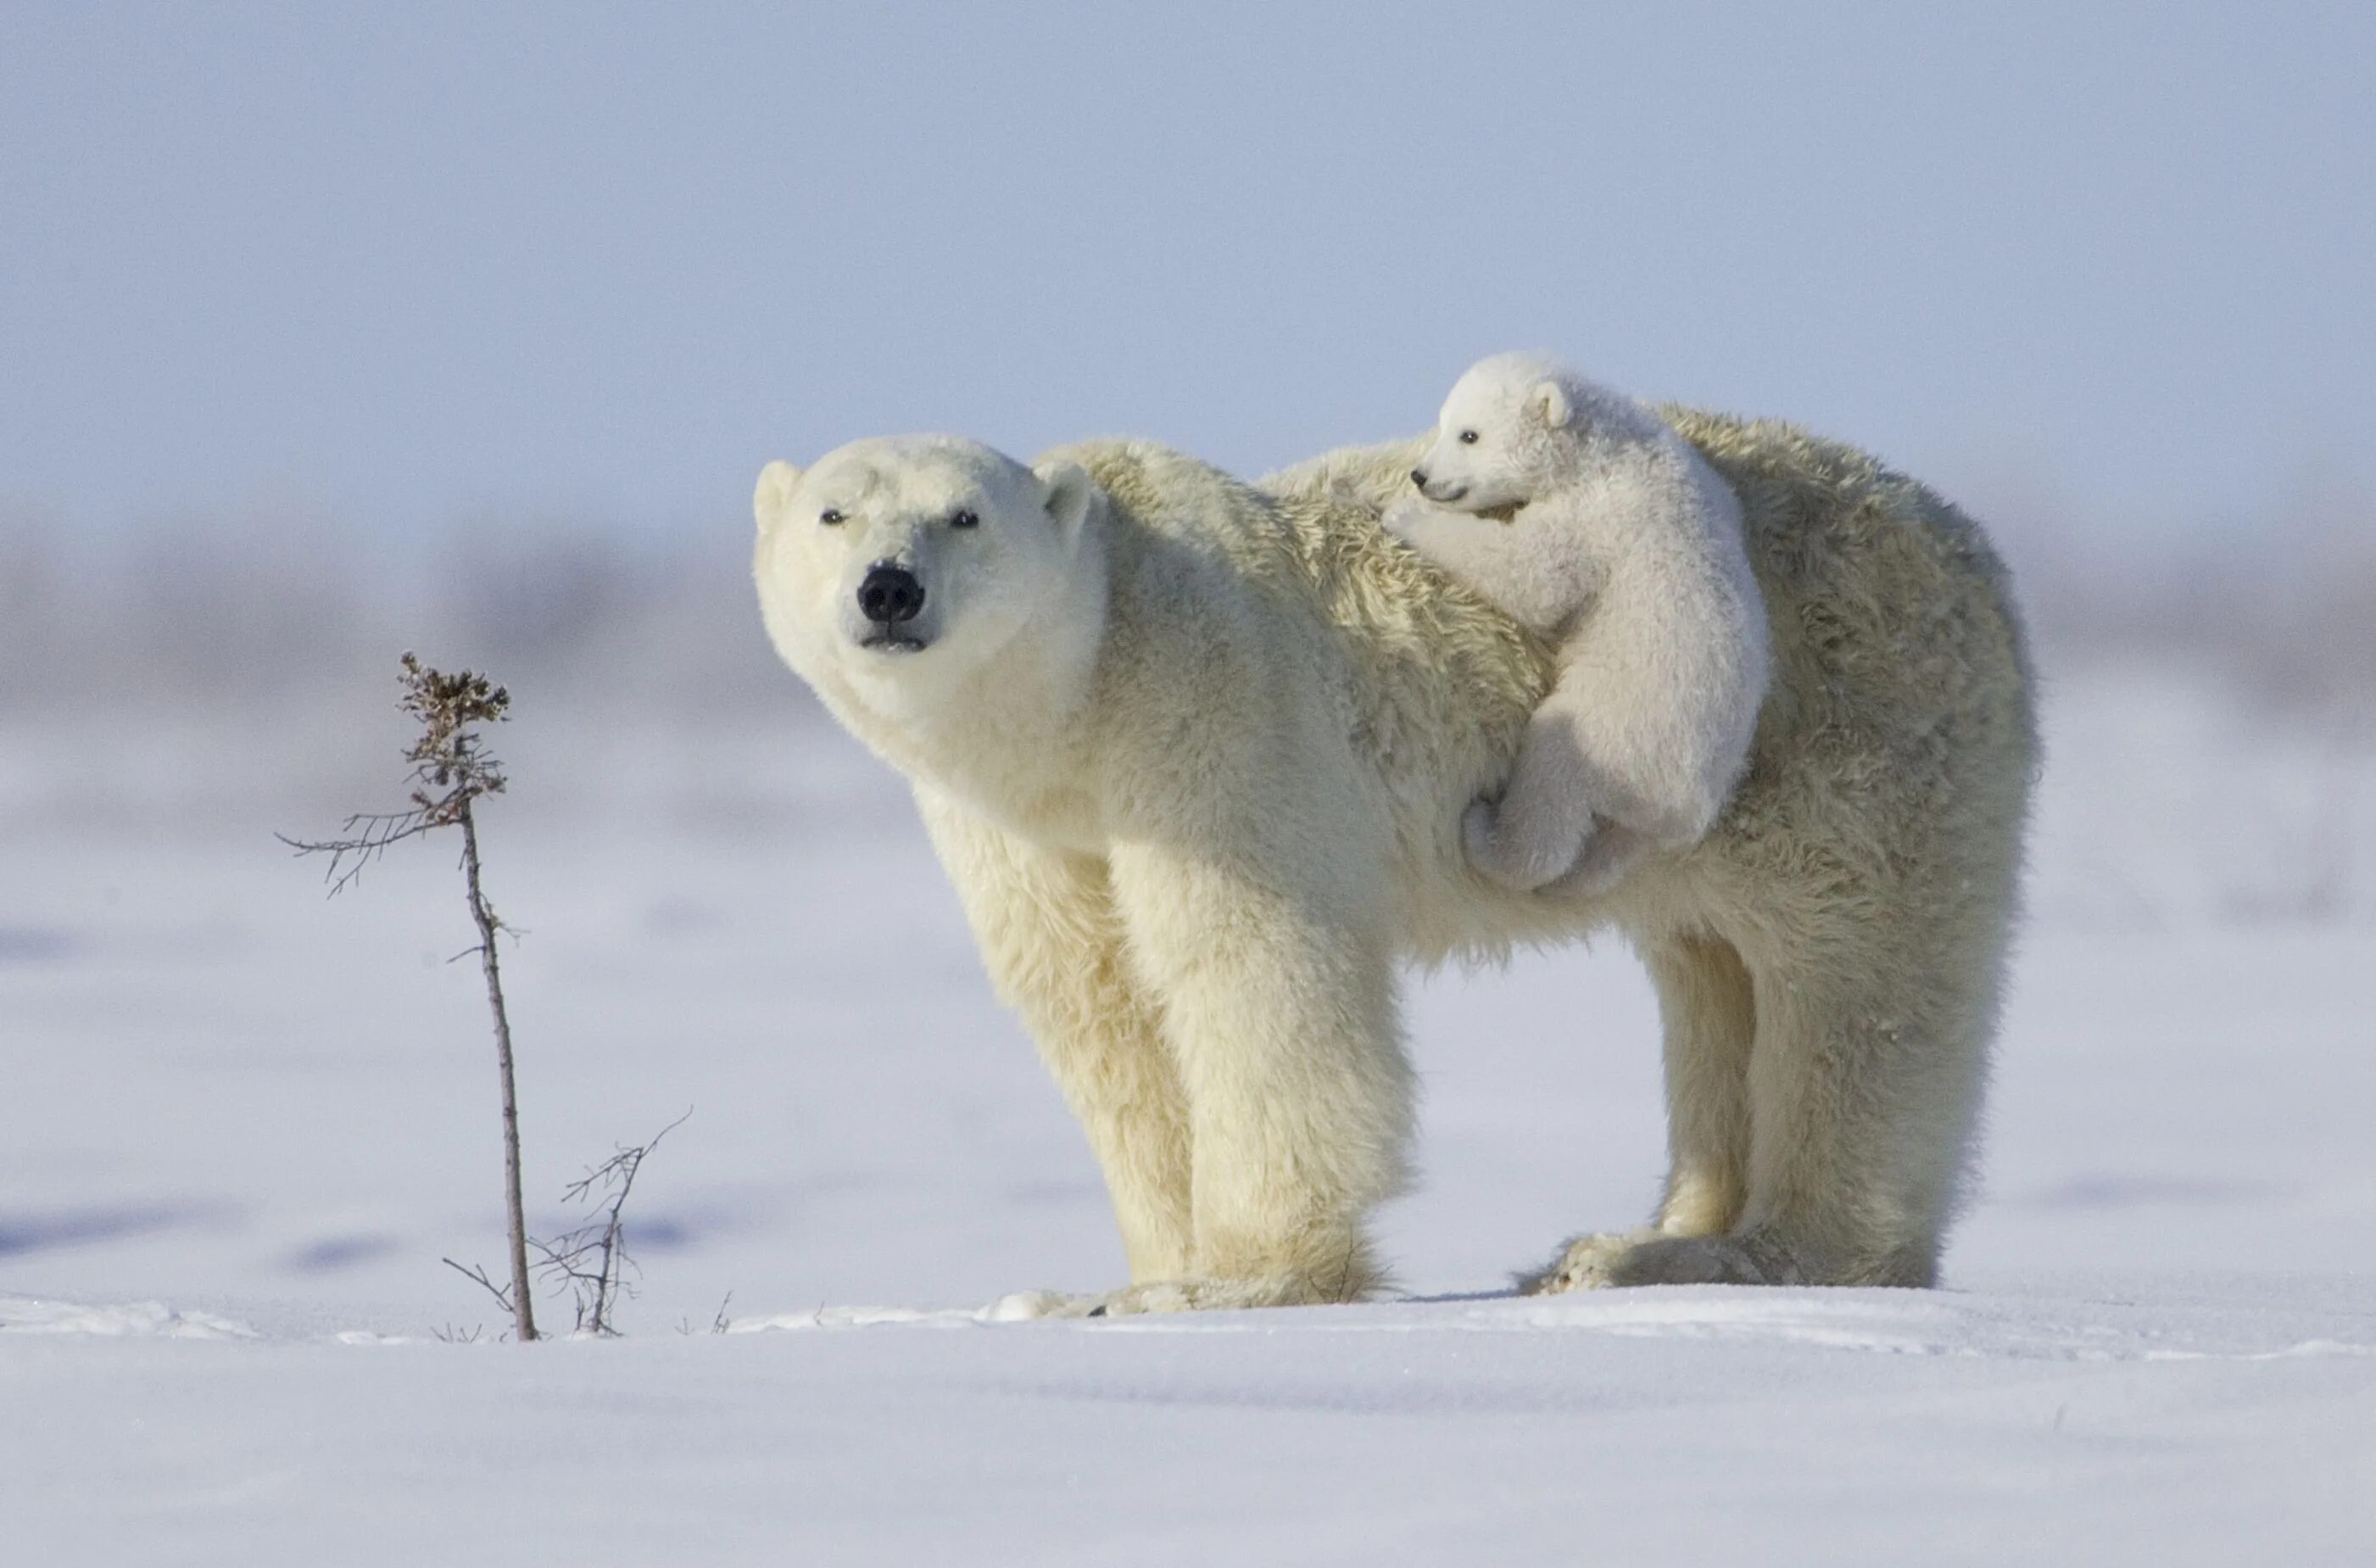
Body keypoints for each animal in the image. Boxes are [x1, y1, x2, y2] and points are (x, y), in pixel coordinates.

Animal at [750, 416, 2033, 1311]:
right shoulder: (1026, 830)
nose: (889, 589)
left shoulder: (1213, 714)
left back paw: (1756, 1251)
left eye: (964, 514)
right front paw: (1130, 1273)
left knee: (1851, 989)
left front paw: (1235, 1279)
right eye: (832, 515)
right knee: (1712, 972)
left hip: (1847, 728)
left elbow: (1252, 975)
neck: (1086, 694)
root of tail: (1973, 548)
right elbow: (1101, 1011)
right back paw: (1633, 1241)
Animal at [1387, 351, 1767, 893]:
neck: (1602, 449)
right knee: (1611, 851)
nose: (1420, 475)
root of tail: (1685, 809)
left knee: (1552, 779)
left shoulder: (1597, 513)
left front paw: (1404, 517)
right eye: (1443, 423)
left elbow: (1537, 575)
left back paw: (1487, 835)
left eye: (1469, 435)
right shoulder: (1705, 477)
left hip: (1615, 732)